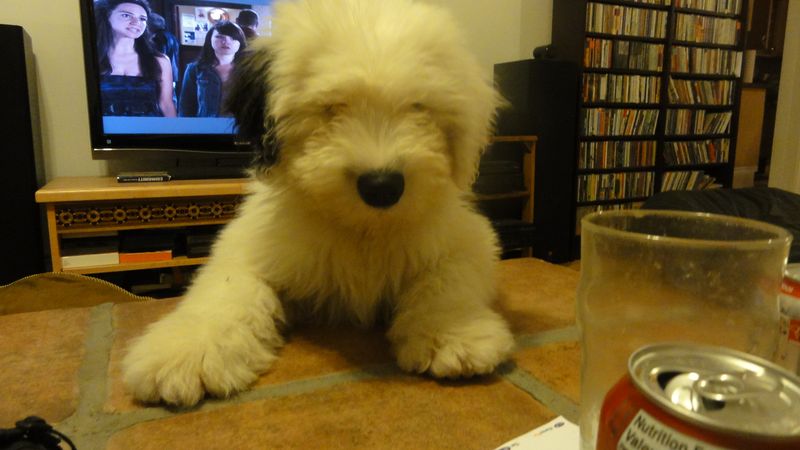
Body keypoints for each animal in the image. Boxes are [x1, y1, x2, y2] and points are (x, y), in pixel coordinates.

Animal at [122, 0, 516, 406]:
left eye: (418, 106)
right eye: (331, 107)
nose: (382, 187)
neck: (362, 228)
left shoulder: (467, 239)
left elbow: (448, 279)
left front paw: (454, 333)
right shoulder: (250, 246)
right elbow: (228, 289)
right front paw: (188, 352)